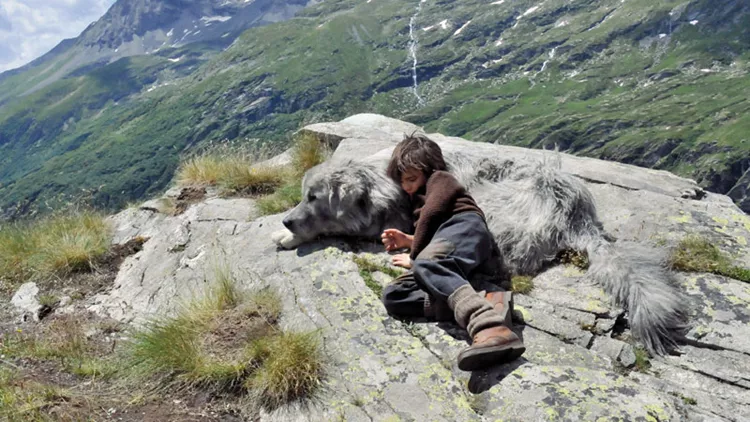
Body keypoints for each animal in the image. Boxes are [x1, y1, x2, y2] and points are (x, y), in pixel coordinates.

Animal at [274, 147, 692, 354]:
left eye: (314, 197)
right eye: (303, 194)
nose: (287, 220)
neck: (378, 183)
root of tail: (577, 209)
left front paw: (290, 234)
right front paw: (286, 231)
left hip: (488, 211)